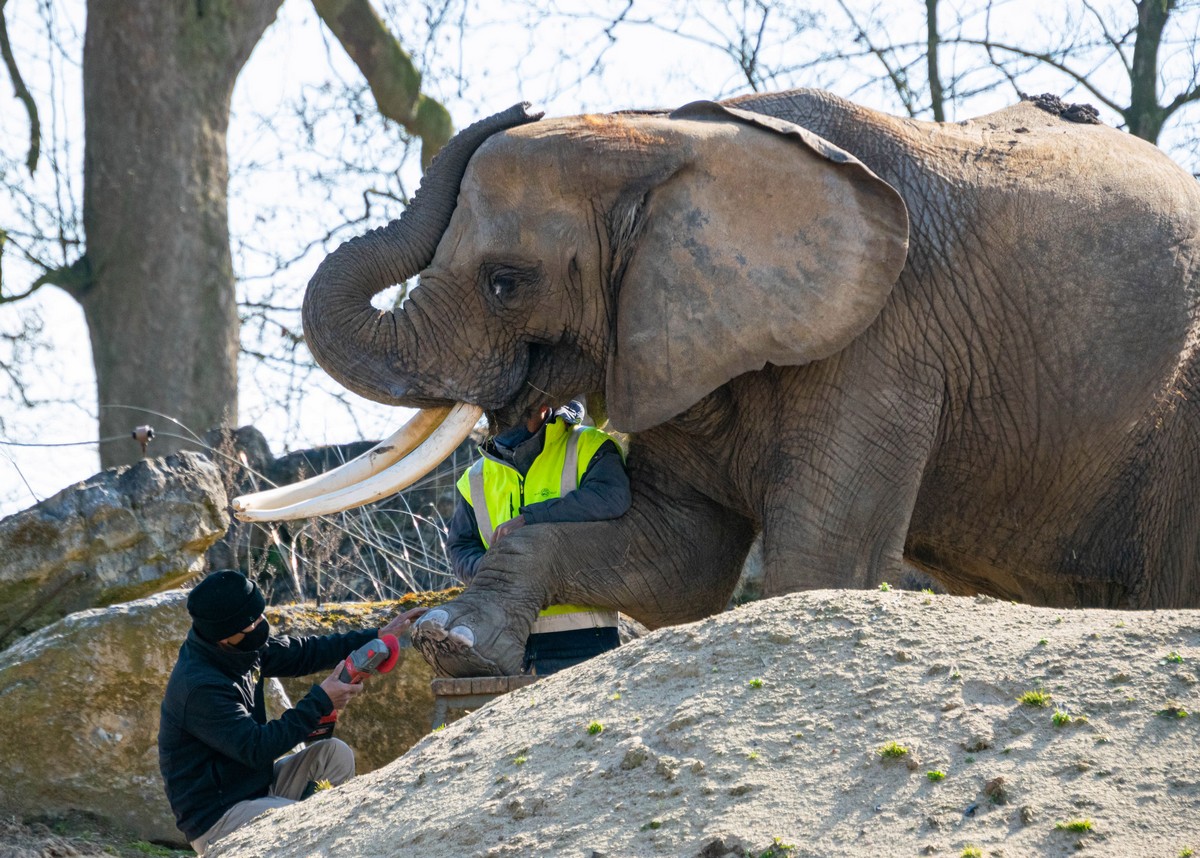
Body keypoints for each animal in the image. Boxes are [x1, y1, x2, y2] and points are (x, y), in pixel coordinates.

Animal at [231, 88, 1200, 676]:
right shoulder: (671, 339)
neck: (669, 136)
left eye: (507, 281)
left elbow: (820, 565)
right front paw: (455, 648)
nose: (521, 103)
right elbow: (679, 562)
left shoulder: (885, 335)